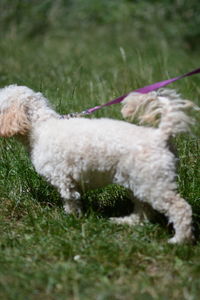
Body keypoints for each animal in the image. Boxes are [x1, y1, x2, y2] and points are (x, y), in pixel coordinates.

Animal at [0, 85, 198, 244]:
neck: (40, 127)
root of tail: (160, 135)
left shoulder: (64, 179)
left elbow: (71, 201)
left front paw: (71, 220)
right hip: (137, 182)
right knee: (143, 210)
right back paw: (127, 222)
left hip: (154, 184)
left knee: (181, 208)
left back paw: (180, 240)